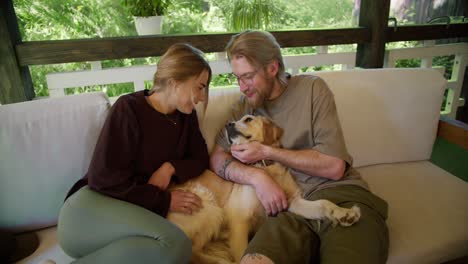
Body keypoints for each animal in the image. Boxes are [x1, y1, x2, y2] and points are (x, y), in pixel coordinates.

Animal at [166, 114, 360, 262]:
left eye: (248, 119)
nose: (228, 125)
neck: (265, 167)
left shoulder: (293, 202)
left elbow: (323, 203)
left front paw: (344, 213)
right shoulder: (239, 219)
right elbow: (241, 252)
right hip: (209, 206)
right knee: (194, 252)